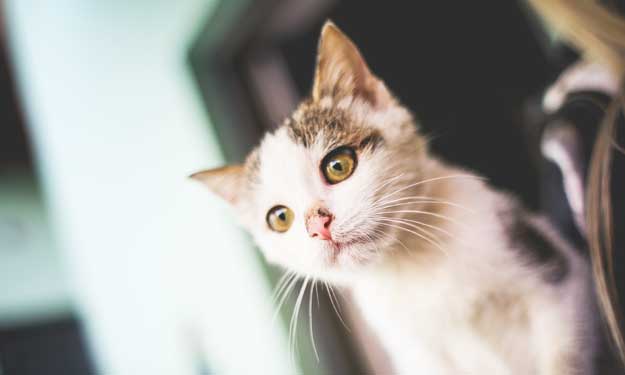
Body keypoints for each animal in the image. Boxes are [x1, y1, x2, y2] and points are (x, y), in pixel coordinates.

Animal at [193, 22, 596, 374]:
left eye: (338, 165)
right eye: (280, 218)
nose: (318, 225)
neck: (410, 263)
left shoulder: (558, 282)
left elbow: (566, 355)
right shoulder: (418, 355)